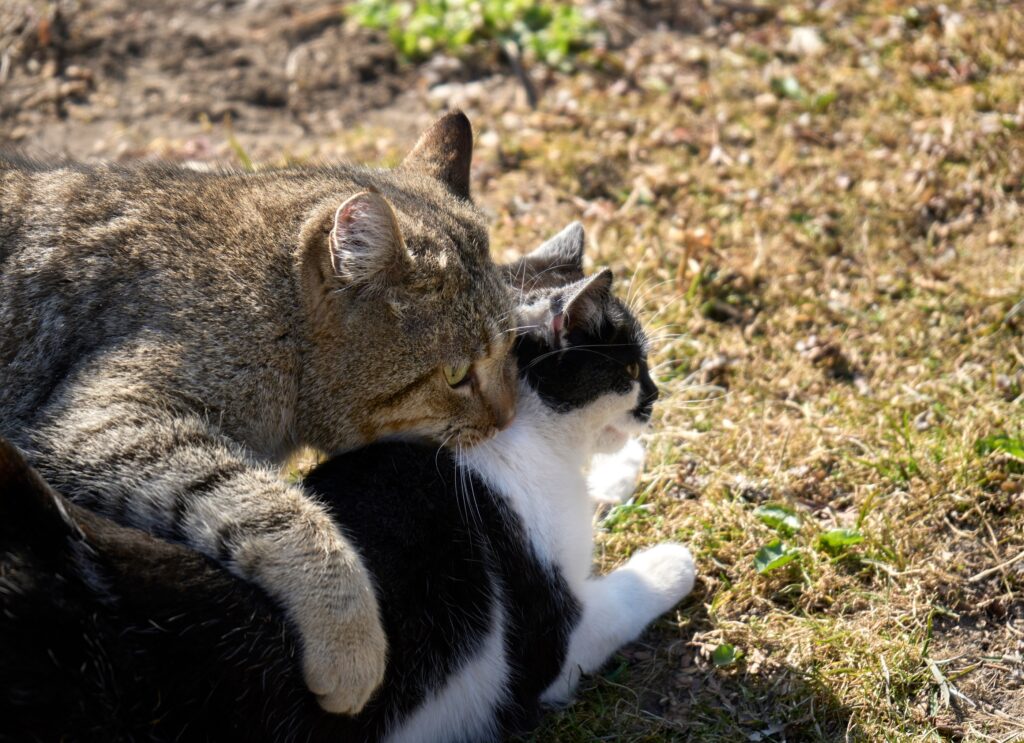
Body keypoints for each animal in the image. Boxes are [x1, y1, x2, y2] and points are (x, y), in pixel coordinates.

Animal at [0, 113, 520, 712]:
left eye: (510, 350)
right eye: (457, 375)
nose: (510, 415)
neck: (273, 308)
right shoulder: (96, 420)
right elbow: (267, 506)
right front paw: (347, 636)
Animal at [0, 224, 696, 740]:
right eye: (631, 368)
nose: (655, 400)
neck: (523, 440)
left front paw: (622, 468)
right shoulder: (554, 638)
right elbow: (624, 596)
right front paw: (671, 561)